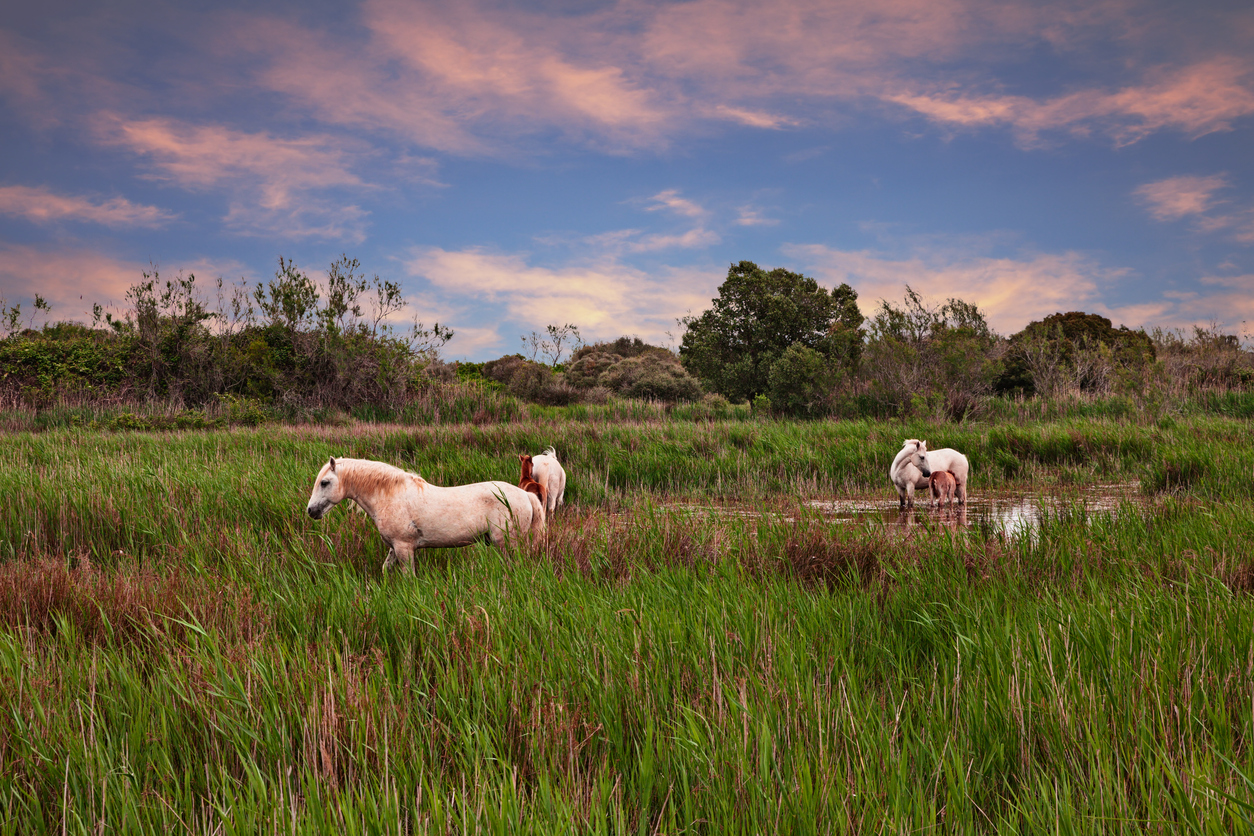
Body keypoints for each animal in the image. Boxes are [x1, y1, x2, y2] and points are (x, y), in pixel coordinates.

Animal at [304, 458, 544, 576]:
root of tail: (525, 495)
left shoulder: (404, 548)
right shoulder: (394, 548)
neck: (391, 496)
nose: (311, 511)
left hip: (506, 542)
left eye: (324, 482)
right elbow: (385, 571)